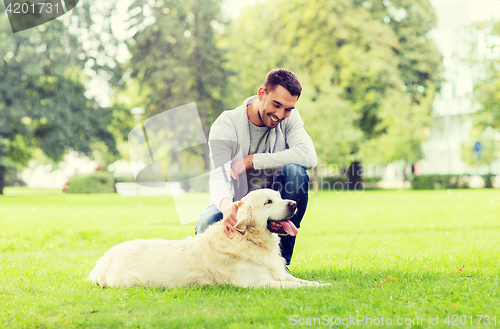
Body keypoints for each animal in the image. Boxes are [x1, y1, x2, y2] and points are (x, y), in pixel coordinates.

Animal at [88, 188, 328, 288]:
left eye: (279, 197)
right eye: (268, 202)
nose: (293, 204)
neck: (248, 240)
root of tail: (101, 262)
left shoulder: (278, 274)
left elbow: (300, 281)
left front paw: (325, 284)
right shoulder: (257, 283)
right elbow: (295, 286)